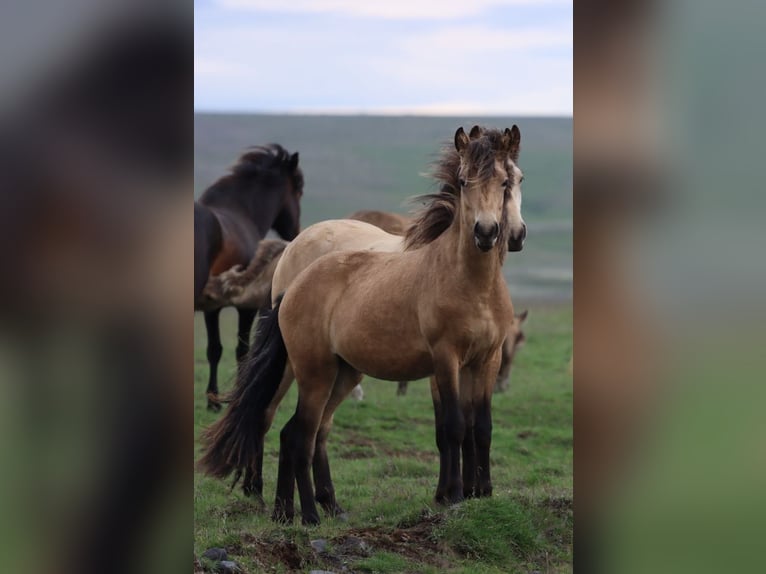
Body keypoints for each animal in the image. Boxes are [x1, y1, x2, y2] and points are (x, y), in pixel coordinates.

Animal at [194, 145, 303, 410]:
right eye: (298, 190)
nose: (295, 231)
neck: (241, 213)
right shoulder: (245, 305)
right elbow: (238, 350)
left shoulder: (211, 305)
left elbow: (214, 349)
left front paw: (213, 399)